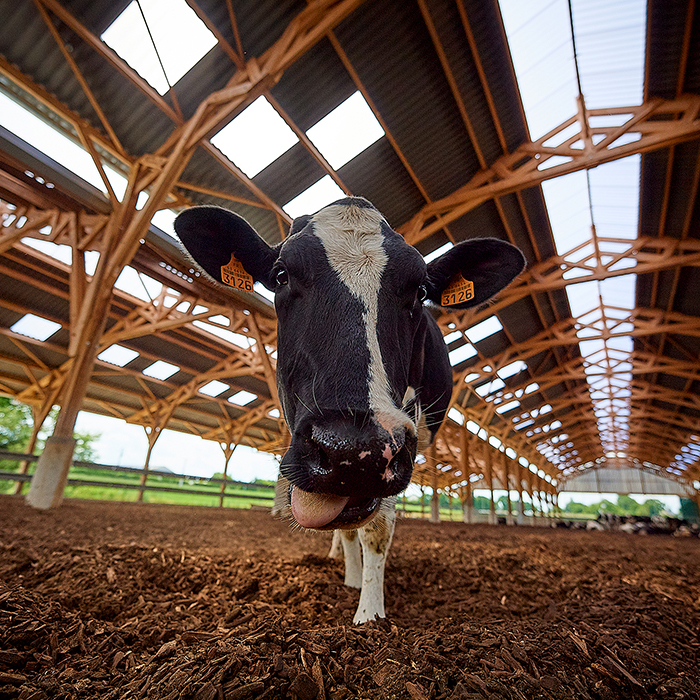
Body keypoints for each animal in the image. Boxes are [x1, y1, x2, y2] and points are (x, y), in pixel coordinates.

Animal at [175, 197, 524, 624]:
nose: (352, 448)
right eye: (280, 275)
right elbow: (343, 524)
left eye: (421, 289)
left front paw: (369, 613)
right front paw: (352, 578)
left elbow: (376, 529)